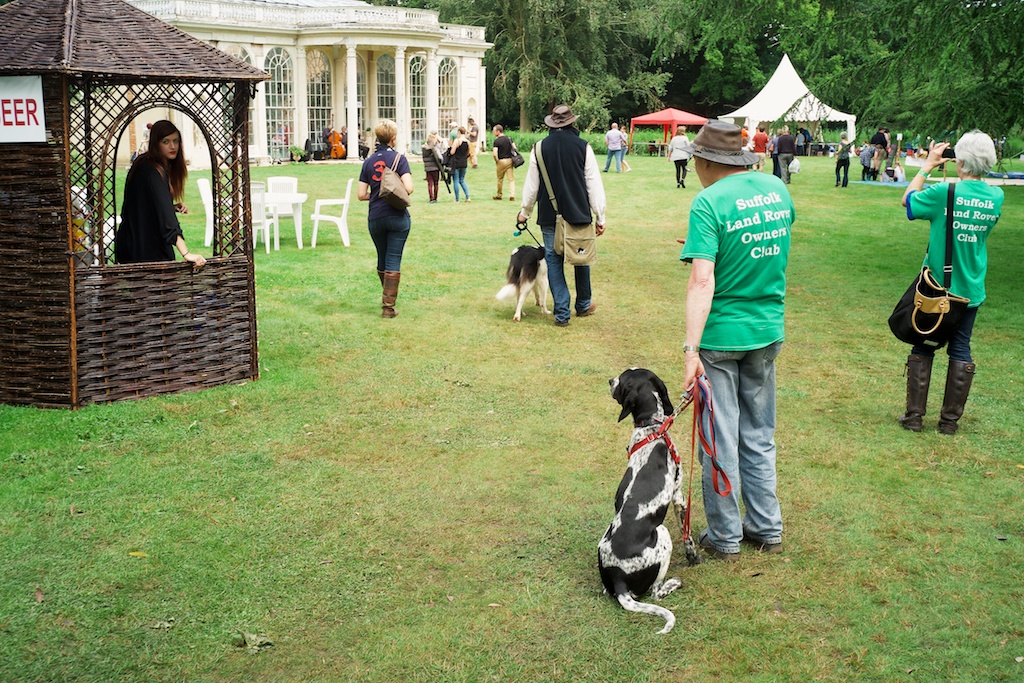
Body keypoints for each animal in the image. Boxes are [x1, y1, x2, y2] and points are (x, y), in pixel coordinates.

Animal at [598, 368, 688, 634]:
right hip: (663, 534)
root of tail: (618, 579)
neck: (651, 428)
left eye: (622, 379)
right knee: (656, 593)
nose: (610, 381)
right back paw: (673, 583)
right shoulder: (679, 495)